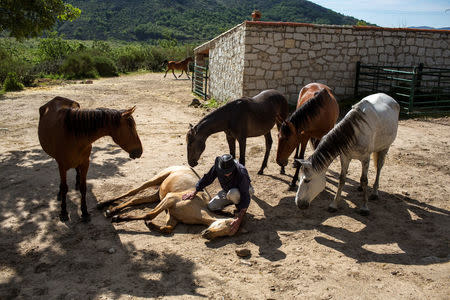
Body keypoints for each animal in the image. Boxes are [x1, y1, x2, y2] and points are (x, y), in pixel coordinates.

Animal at [97, 165, 237, 240]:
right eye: (227, 224)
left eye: (227, 234)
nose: (207, 234)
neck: (200, 209)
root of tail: (186, 166)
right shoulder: (171, 199)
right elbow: (150, 214)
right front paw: (118, 218)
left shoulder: (172, 214)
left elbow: (167, 228)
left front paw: (150, 224)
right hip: (157, 179)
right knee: (133, 191)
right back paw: (104, 207)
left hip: (157, 195)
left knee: (136, 199)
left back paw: (110, 210)